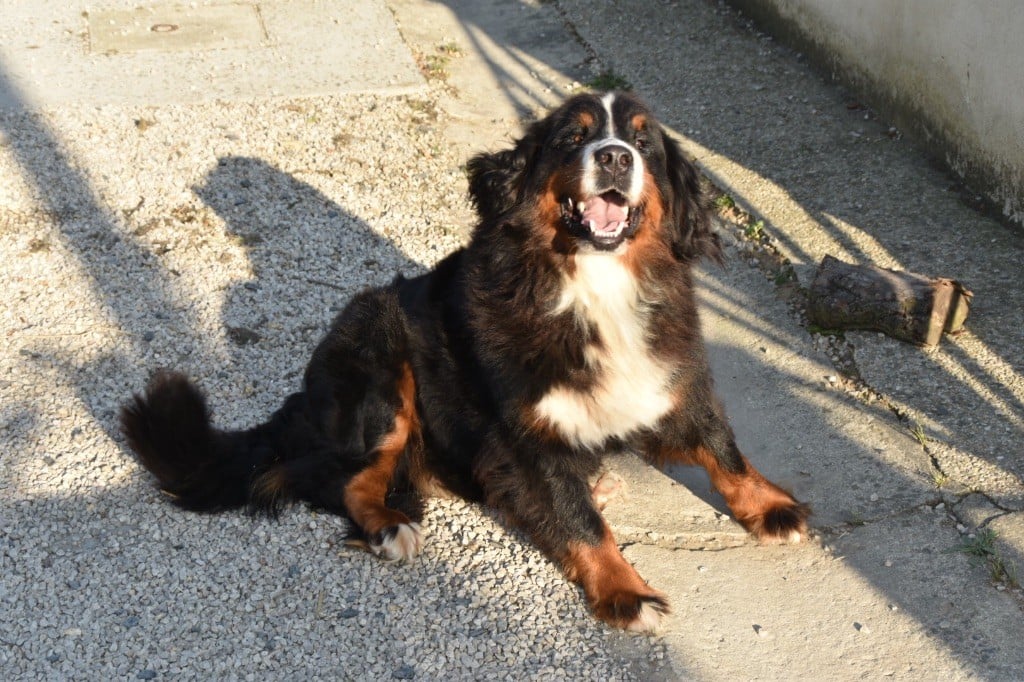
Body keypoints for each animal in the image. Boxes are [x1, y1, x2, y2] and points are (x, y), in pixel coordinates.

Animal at [121, 91, 806, 630]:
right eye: (574, 137)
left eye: (644, 143)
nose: (614, 156)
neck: (595, 285)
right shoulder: (525, 431)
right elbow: (582, 524)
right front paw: (625, 591)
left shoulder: (671, 379)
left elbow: (722, 448)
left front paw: (770, 505)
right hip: (380, 360)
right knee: (347, 478)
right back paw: (389, 526)